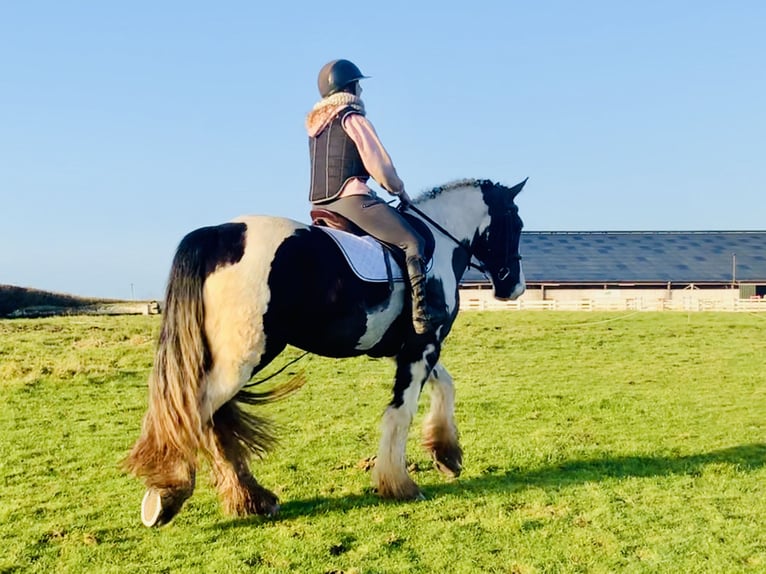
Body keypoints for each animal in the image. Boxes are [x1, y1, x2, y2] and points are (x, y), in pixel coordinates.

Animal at [124, 178, 528, 528]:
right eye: (516, 222)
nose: (515, 287)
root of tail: (221, 234)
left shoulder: (412, 349)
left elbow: (446, 386)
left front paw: (446, 456)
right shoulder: (421, 348)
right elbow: (402, 412)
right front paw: (399, 483)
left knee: (213, 421)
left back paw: (251, 499)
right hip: (241, 361)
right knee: (192, 415)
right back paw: (167, 497)